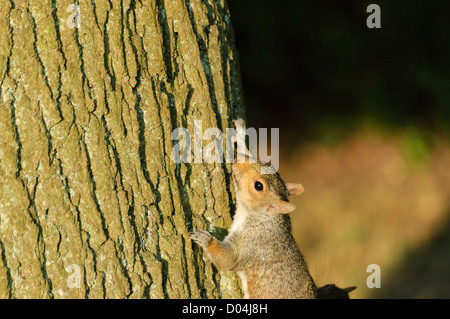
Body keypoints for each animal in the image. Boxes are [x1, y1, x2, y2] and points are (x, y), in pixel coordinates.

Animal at [189, 119, 316, 298]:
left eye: (258, 186)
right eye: (266, 163)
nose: (238, 159)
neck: (260, 217)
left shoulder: (252, 243)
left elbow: (228, 259)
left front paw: (205, 239)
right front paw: (241, 134)